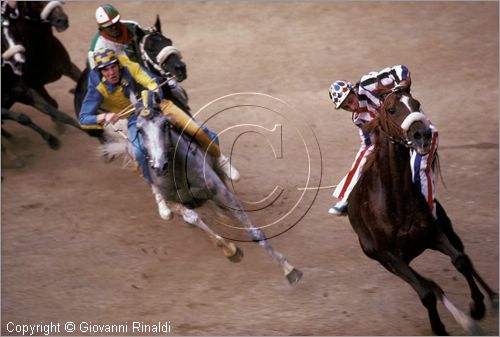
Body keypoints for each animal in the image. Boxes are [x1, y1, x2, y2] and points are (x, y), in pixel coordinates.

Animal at [346, 86, 498, 334]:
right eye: (391, 109)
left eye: (417, 103)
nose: (423, 135)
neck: (396, 200)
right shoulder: (391, 256)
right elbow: (426, 293)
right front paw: (440, 327)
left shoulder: (433, 232)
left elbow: (461, 261)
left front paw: (477, 307)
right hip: (382, 258)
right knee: (429, 285)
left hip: (446, 226)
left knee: (463, 254)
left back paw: (492, 298)